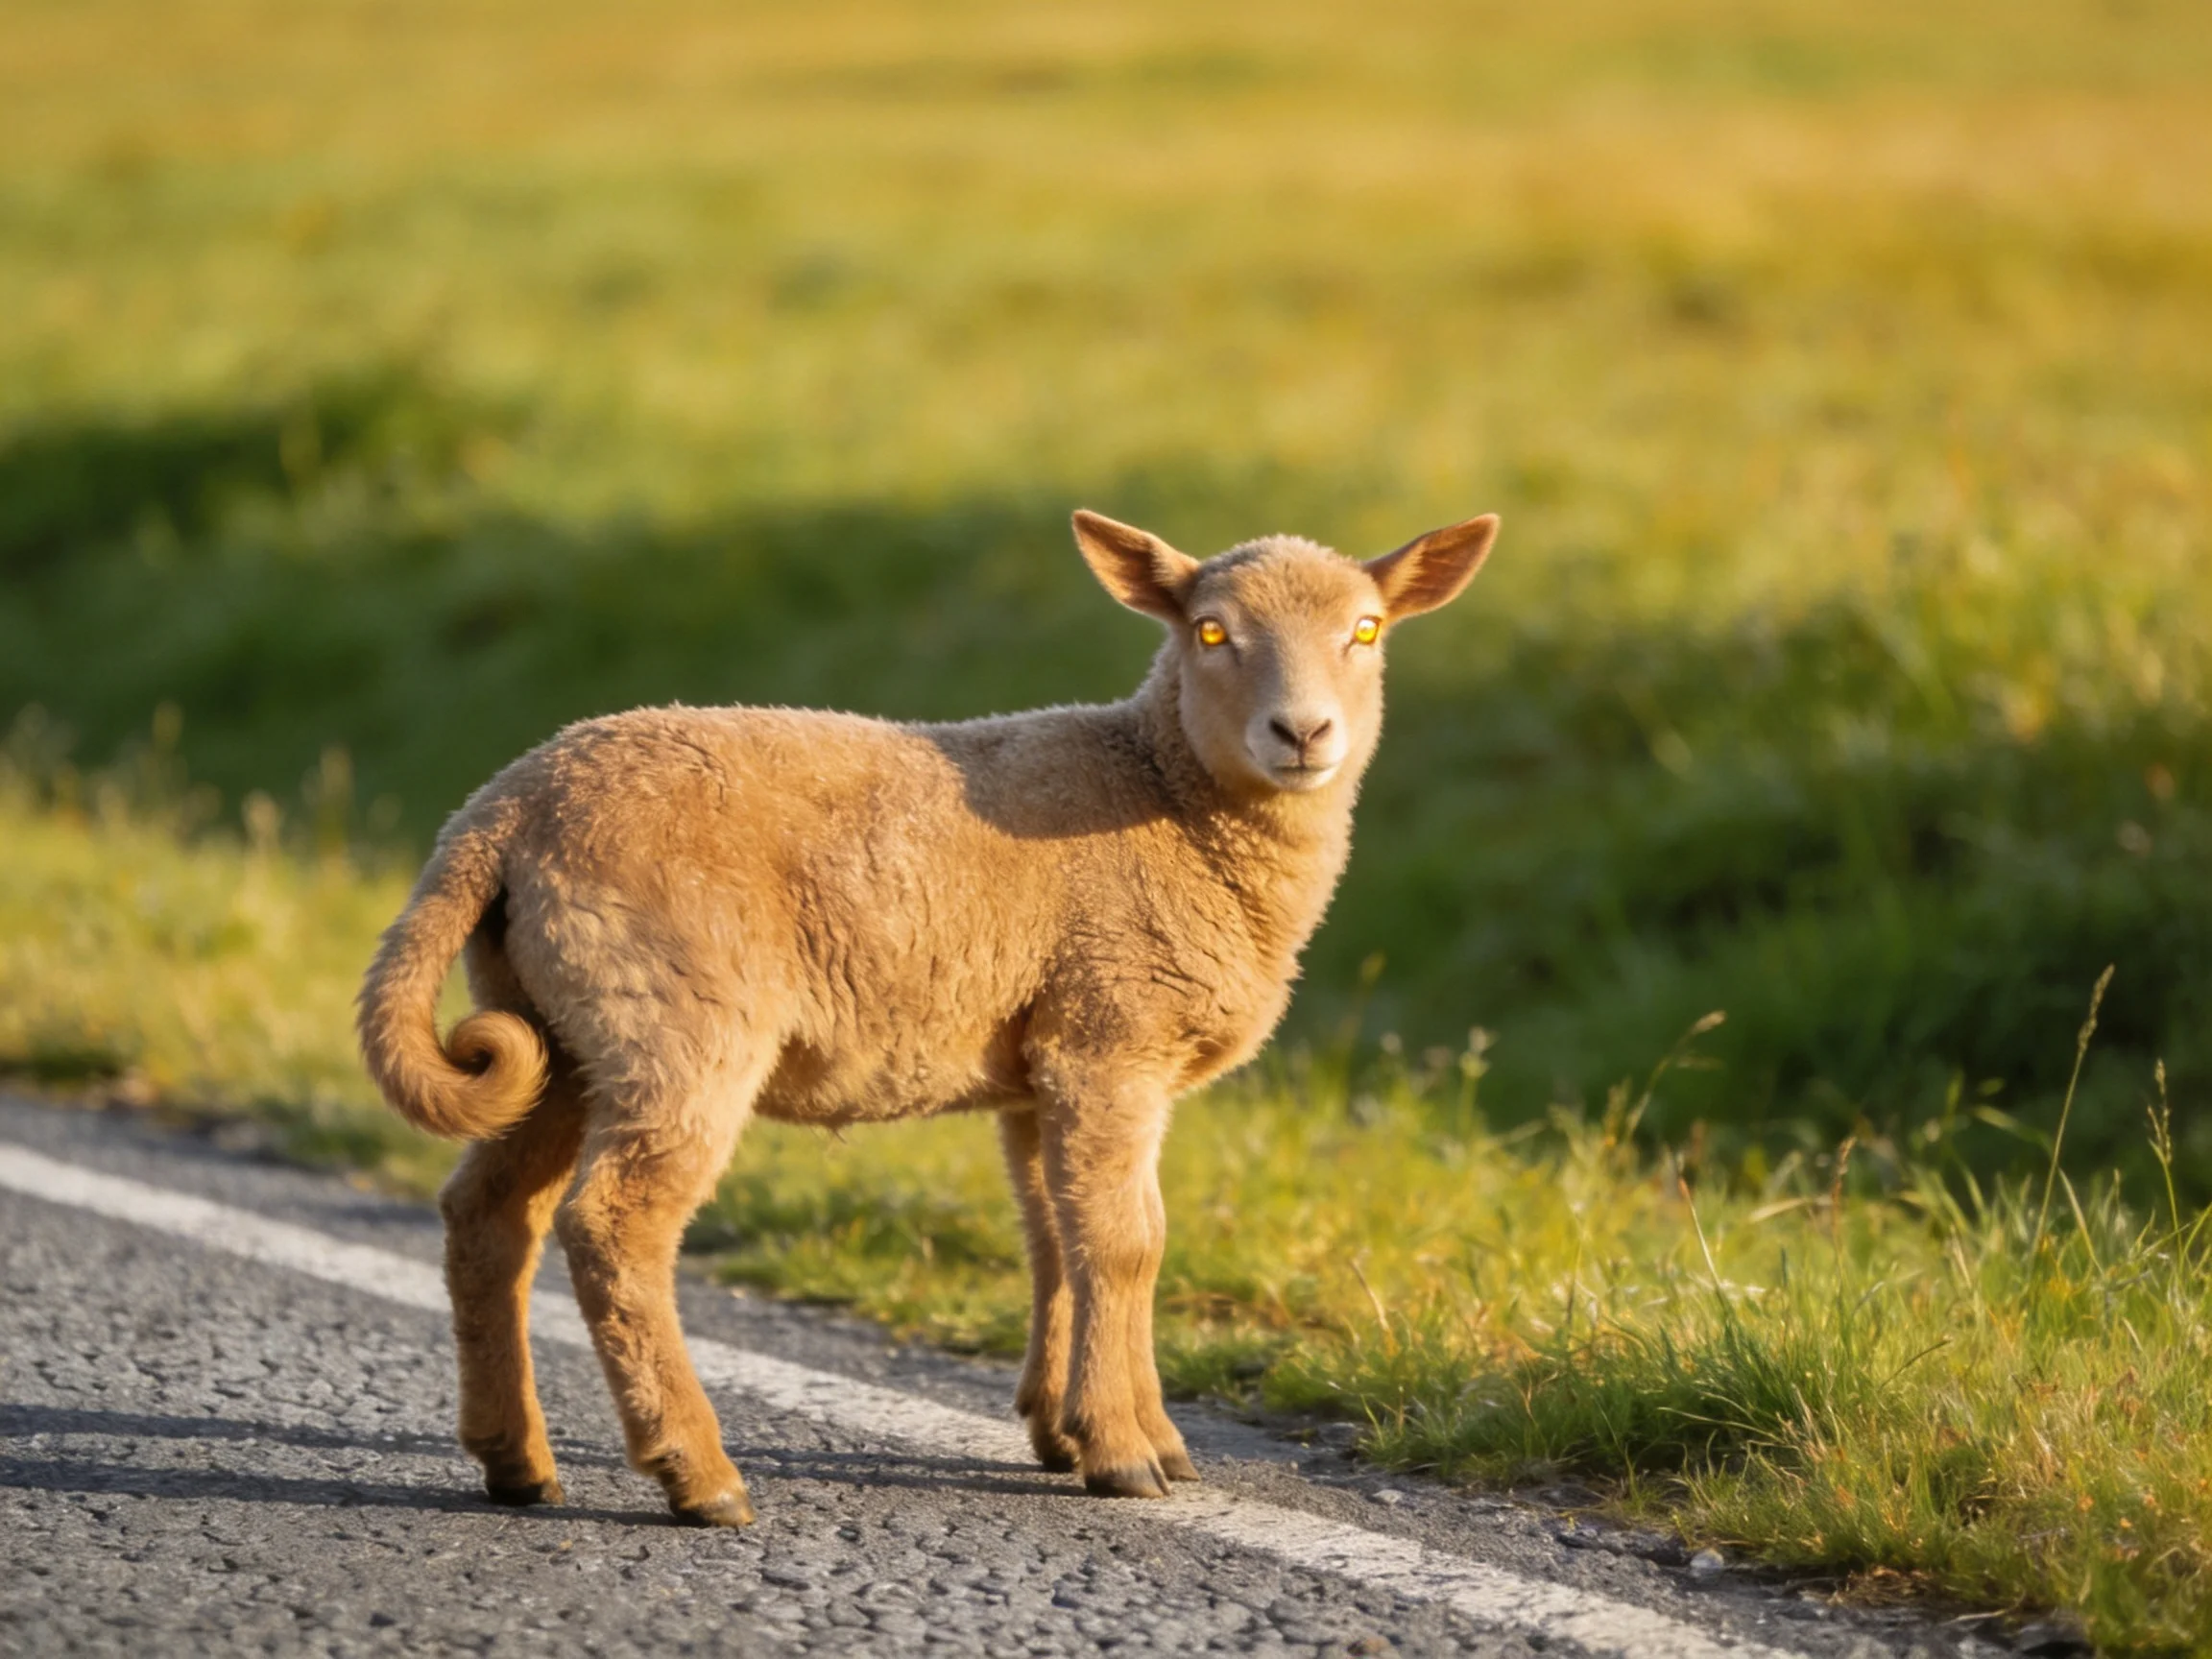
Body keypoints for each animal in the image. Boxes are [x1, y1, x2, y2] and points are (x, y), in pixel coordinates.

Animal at [356, 506, 1501, 1525]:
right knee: (613, 1226)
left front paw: (1069, 1429)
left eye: (1367, 631)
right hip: (676, 1018)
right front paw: (1129, 1454)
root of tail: (500, 809)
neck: (1166, 792)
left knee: (489, 1214)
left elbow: (1055, 1235)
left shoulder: (1046, 1059)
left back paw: (516, 1462)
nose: (1302, 732)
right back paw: (698, 1477)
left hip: (555, 1026)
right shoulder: (1111, 1036)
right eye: (1210, 632)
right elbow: (1128, 1241)